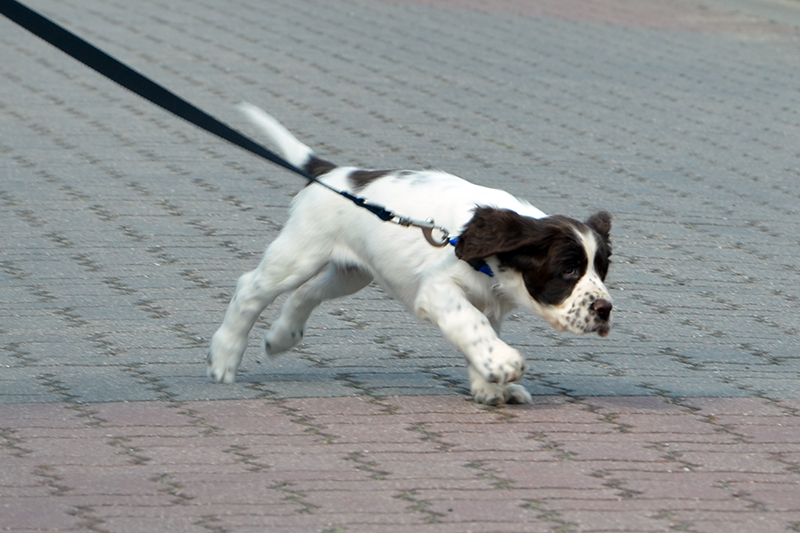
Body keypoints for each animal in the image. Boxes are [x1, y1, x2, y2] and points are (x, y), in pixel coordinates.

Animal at [208, 104, 612, 404]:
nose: (605, 309)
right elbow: (472, 324)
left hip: (351, 272)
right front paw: (503, 364)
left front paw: (490, 384)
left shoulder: (488, 301)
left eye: (602, 269)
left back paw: (282, 337)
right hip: (300, 253)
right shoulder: (438, 289)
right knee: (251, 288)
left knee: (307, 292)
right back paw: (223, 359)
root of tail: (335, 174)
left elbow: (478, 332)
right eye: (568, 270)